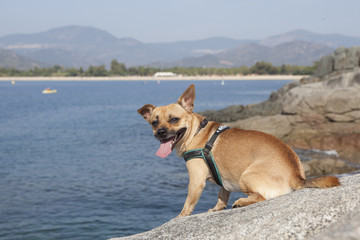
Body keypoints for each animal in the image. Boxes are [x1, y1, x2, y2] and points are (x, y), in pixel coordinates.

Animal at [138, 84, 340, 218]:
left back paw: (242, 202)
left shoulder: (195, 182)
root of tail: (296, 176)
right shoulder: (223, 181)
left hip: (246, 176)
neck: (197, 132)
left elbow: (188, 204)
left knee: (260, 196)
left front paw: (179, 218)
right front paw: (217, 208)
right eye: (154, 122)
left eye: (174, 119)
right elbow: (222, 194)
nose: (160, 132)